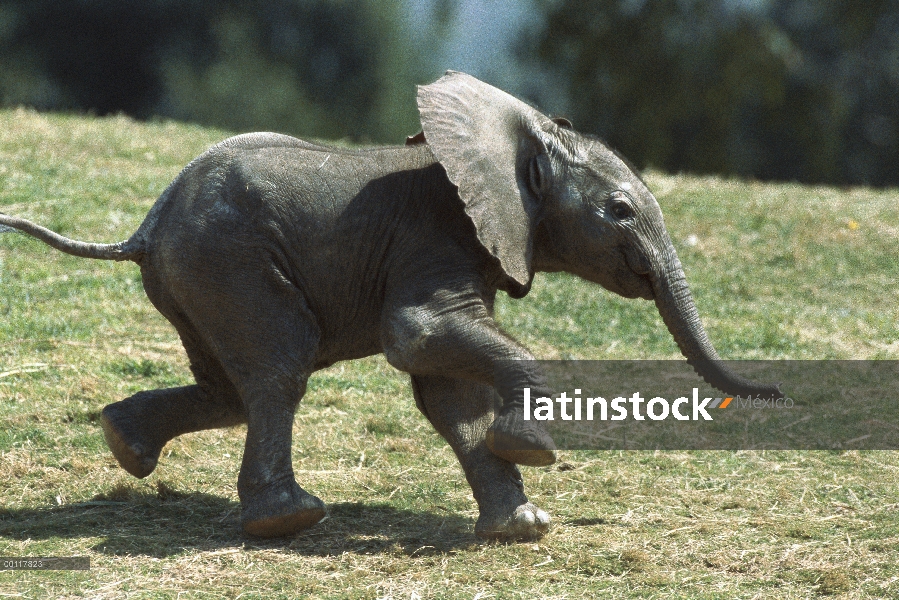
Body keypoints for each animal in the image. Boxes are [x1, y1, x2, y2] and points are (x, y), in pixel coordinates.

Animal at [0, 72, 776, 540]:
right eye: (618, 211)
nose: (774, 392)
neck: (508, 143)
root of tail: (147, 225)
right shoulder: (433, 237)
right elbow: (418, 336)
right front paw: (534, 450)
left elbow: (449, 393)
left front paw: (522, 527)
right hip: (228, 261)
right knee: (278, 369)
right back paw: (289, 521)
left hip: (197, 276)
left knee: (229, 385)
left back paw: (123, 443)